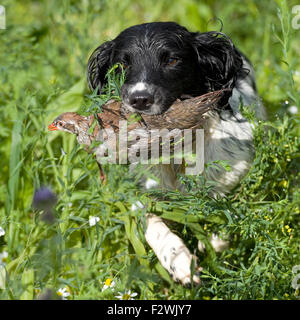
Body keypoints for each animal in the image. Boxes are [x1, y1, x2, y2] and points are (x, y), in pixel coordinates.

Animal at [85, 21, 266, 284]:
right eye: (123, 64)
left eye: (171, 60)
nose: (139, 99)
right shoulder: (142, 187)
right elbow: (152, 222)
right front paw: (178, 259)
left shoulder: (234, 170)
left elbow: (221, 212)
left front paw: (211, 241)